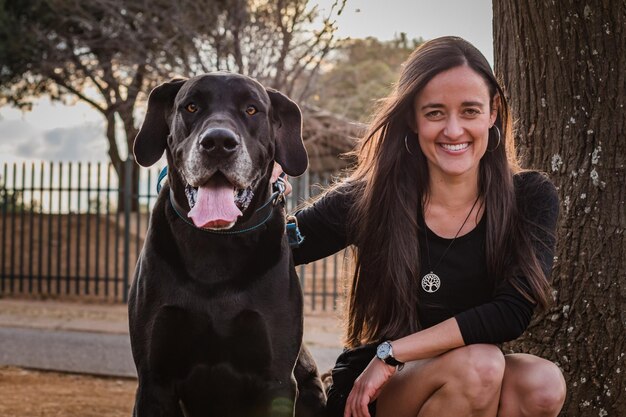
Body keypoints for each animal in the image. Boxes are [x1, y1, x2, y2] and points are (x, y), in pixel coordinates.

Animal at [129, 72, 324, 416]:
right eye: (191, 106)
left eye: (251, 109)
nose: (218, 142)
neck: (216, 247)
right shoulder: (154, 380)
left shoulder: (277, 380)